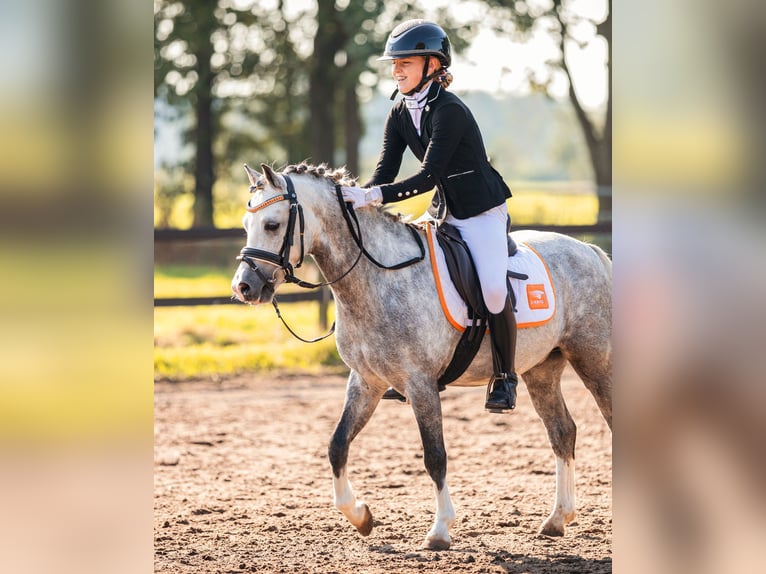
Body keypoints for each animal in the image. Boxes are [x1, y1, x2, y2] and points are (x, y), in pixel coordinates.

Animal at [231, 164, 616, 552]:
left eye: (272, 225)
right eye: (247, 224)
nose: (243, 287)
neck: (376, 280)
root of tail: (589, 250)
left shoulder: (421, 383)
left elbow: (435, 456)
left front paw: (440, 530)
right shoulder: (366, 382)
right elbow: (337, 445)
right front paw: (361, 516)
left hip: (594, 360)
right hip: (542, 368)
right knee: (562, 431)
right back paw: (557, 519)